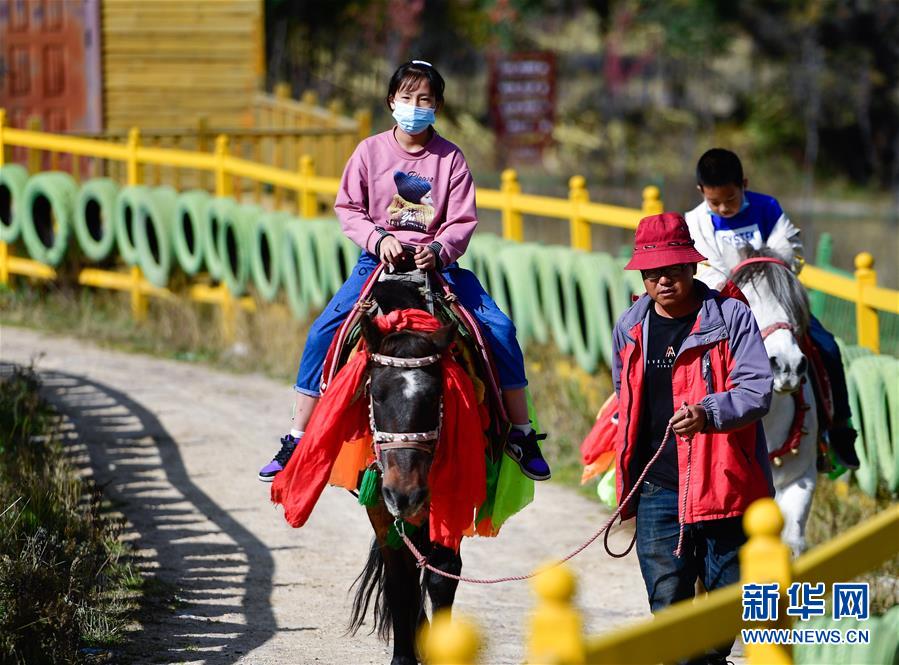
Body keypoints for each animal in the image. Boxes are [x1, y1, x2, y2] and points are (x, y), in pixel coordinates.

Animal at [348, 280, 464, 664]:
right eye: (376, 394)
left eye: (435, 397)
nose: (405, 493)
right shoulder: (379, 504)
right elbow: (400, 582)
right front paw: (404, 655)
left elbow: (443, 575)